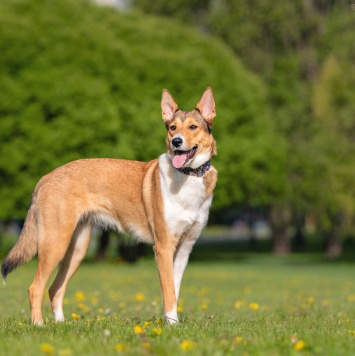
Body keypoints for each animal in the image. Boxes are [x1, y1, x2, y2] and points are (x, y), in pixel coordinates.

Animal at [1, 87, 218, 326]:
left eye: (193, 127)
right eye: (172, 128)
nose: (176, 142)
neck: (187, 176)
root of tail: (44, 178)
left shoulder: (185, 248)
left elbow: (174, 290)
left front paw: (174, 324)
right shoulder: (163, 247)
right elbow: (168, 291)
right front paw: (171, 326)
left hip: (76, 249)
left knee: (55, 289)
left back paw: (61, 324)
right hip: (55, 244)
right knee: (35, 288)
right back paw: (39, 325)